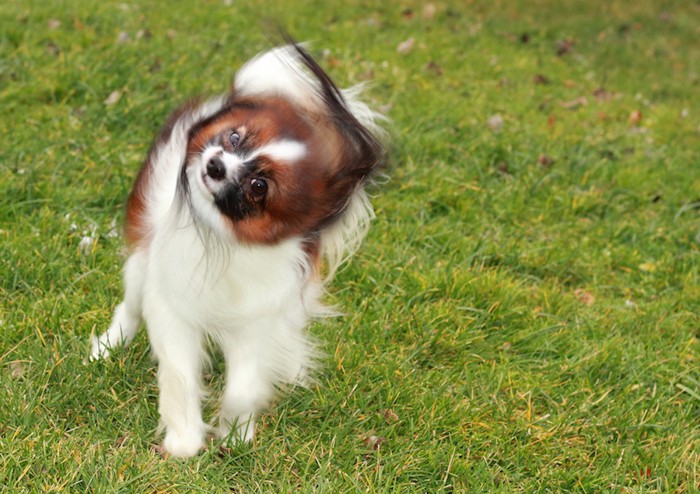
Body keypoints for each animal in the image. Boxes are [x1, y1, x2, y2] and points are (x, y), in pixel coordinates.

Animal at [90, 44, 386, 458]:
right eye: (233, 137)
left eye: (259, 185)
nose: (215, 164)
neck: (229, 242)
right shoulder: (172, 305)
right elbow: (180, 375)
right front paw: (184, 441)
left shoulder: (259, 318)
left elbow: (245, 386)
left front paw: (235, 432)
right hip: (140, 265)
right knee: (130, 306)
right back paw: (109, 345)